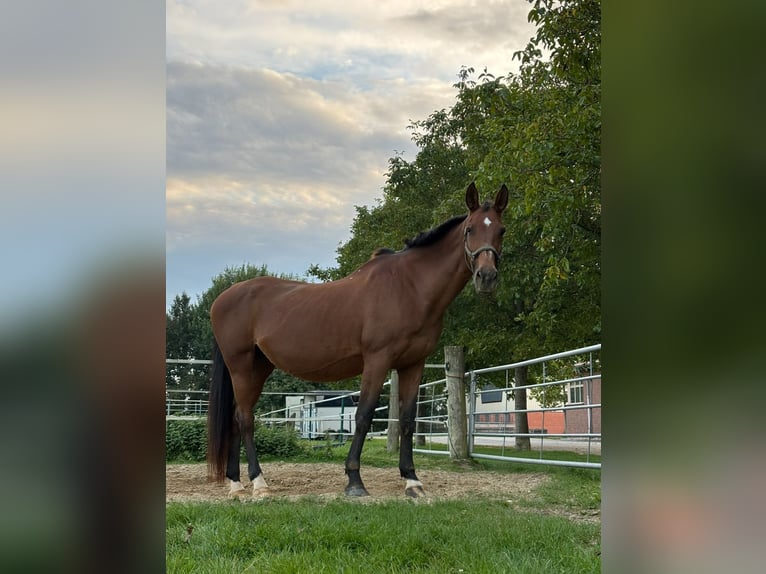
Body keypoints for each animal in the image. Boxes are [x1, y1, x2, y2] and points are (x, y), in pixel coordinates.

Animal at [210, 183, 510, 500]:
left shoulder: (413, 364)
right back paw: (258, 482)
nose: (486, 277)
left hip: (258, 367)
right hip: (240, 366)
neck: (410, 287)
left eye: (501, 230)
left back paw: (235, 483)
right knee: (245, 419)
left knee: (235, 419)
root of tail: (222, 298)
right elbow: (363, 416)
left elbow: (407, 420)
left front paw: (411, 480)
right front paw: (354, 480)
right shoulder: (377, 360)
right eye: (470, 229)